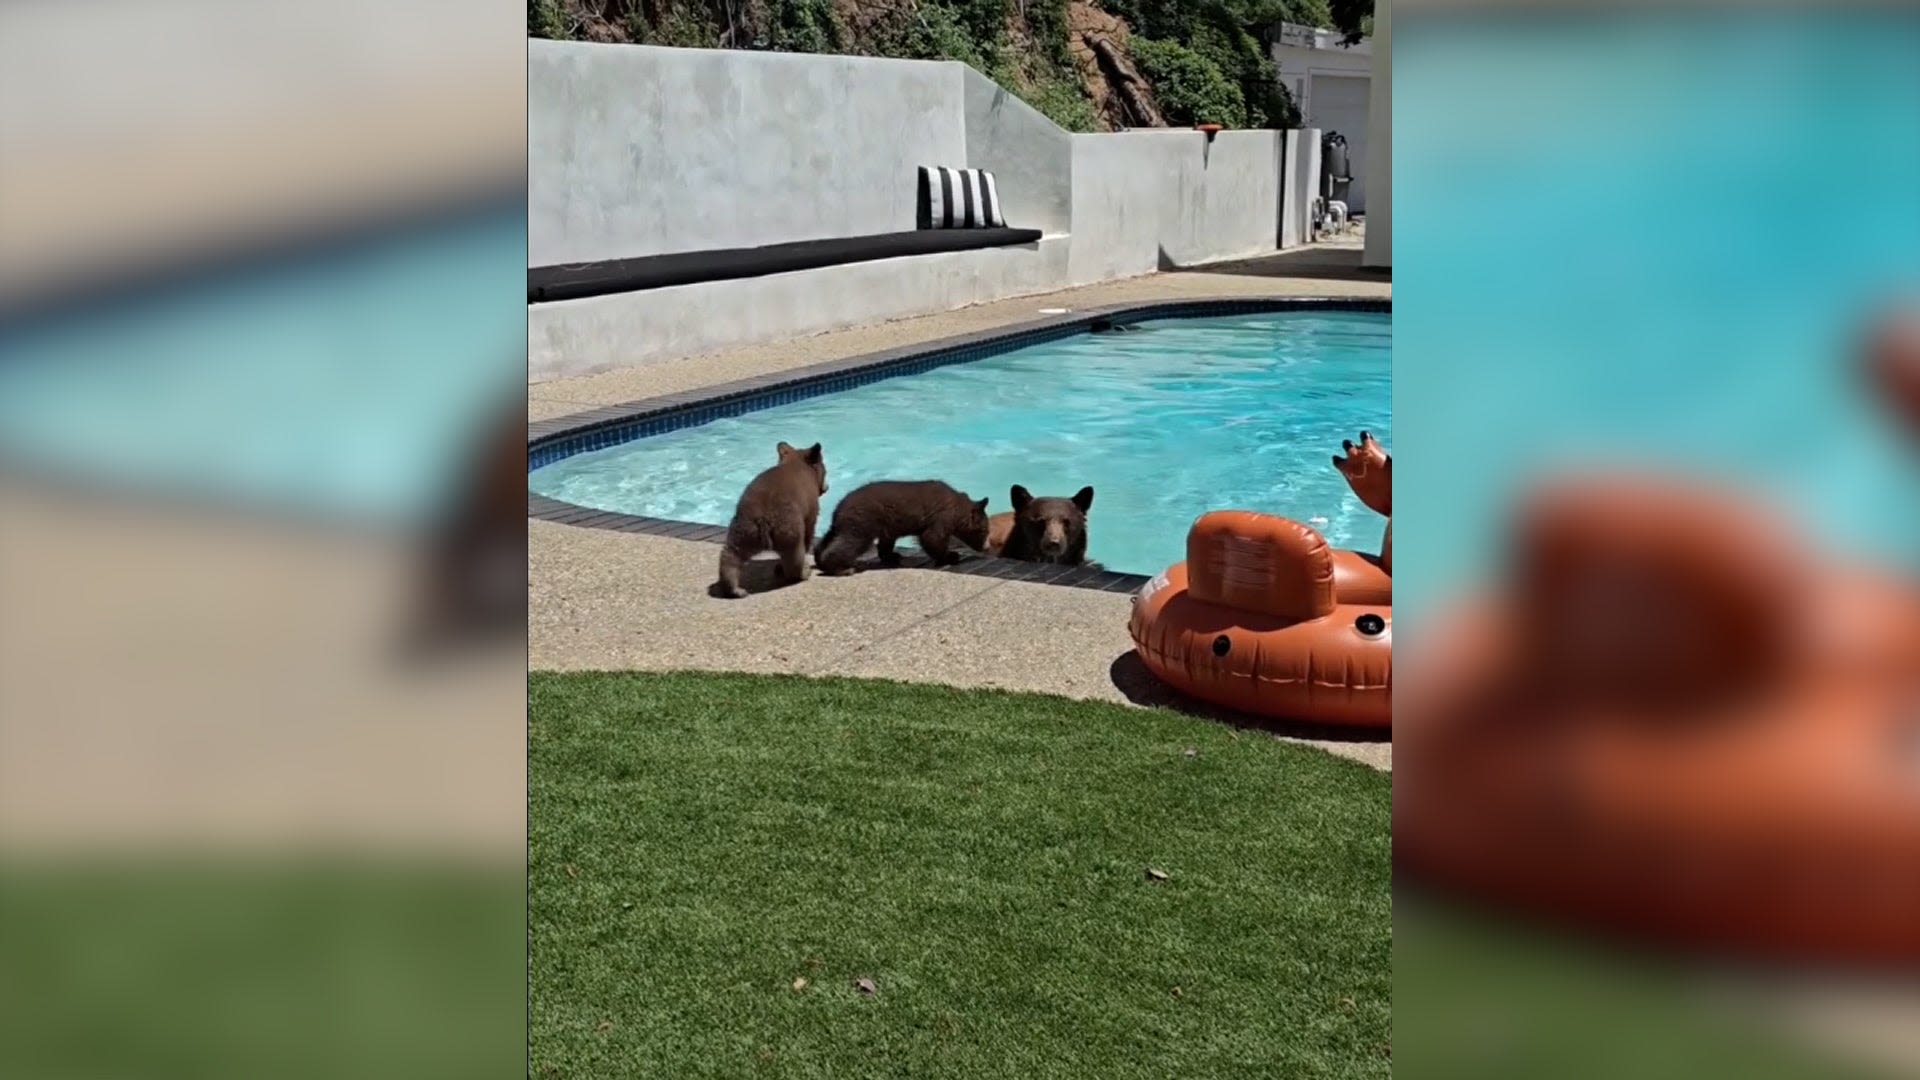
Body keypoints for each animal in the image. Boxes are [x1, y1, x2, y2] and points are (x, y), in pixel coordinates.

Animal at [710, 441, 821, 599]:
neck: (795, 462)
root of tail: (763, 517)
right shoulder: (811, 511)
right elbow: (809, 530)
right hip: (788, 528)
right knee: (794, 556)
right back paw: (803, 573)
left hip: (744, 529)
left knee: (731, 555)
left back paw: (734, 589)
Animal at [810, 474, 990, 568]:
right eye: (984, 530)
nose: (986, 548)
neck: (958, 507)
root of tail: (838, 509)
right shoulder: (941, 518)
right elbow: (932, 538)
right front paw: (949, 557)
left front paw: (890, 557)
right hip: (861, 522)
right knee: (849, 543)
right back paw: (840, 568)